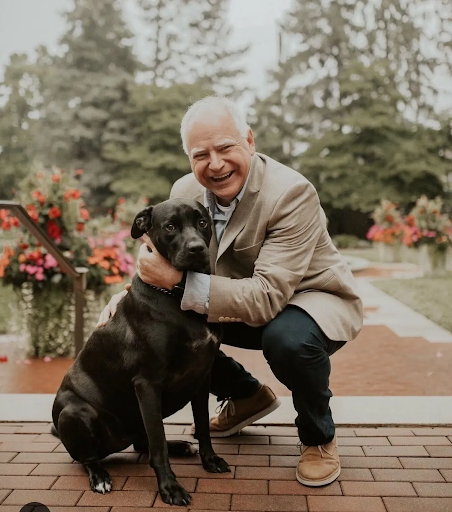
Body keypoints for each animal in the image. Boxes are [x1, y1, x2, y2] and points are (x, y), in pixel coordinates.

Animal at [52, 198, 230, 506]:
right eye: (170, 226)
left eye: (202, 222)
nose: (197, 249)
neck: (177, 297)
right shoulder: (147, 384)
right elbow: (158, 444)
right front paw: (170, 488)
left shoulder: (202, 377)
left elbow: (203, 426)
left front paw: (210, 460)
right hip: (74, 413)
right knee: (89, 457)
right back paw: (99, 476)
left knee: (142, 442)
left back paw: (179, 446)